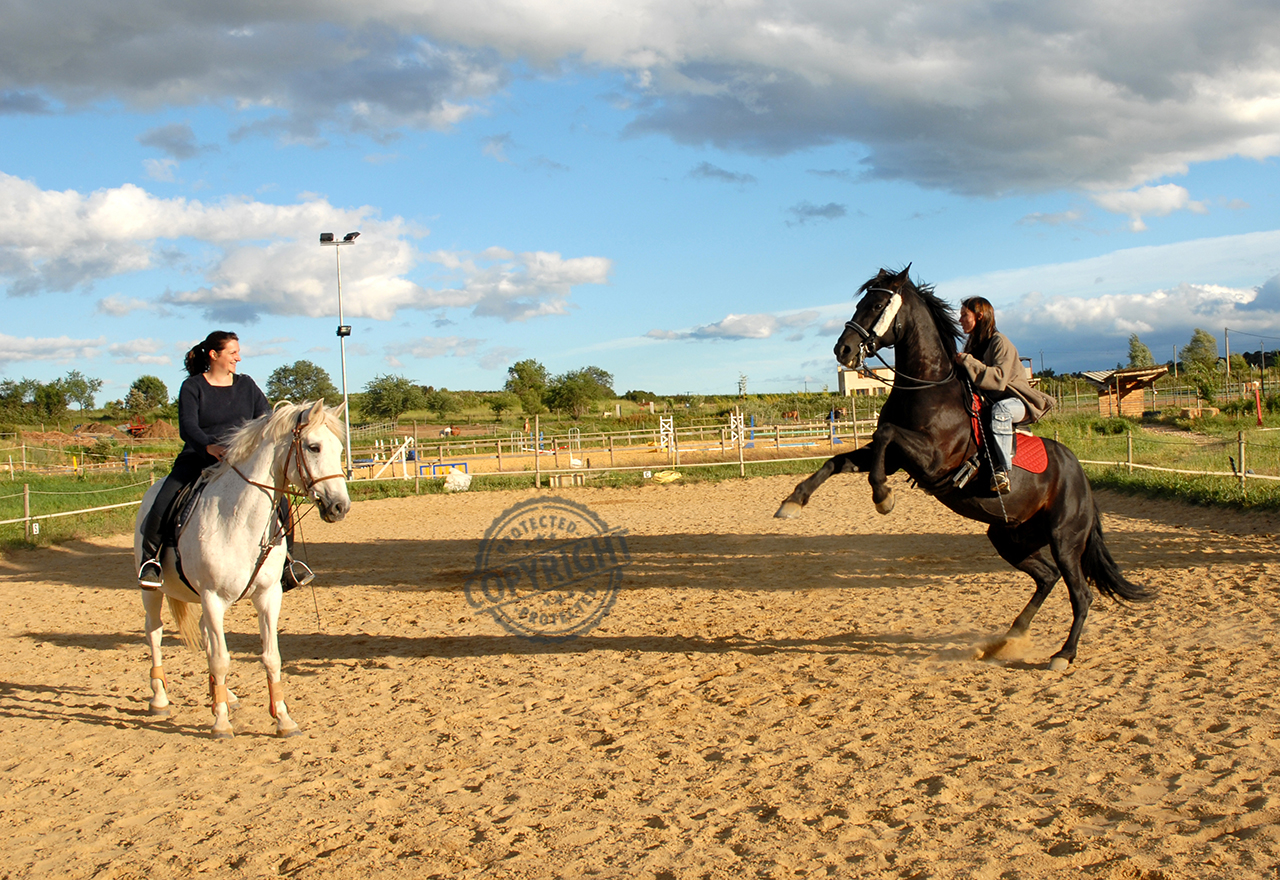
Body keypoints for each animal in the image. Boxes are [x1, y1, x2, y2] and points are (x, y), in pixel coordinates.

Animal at [133, 399, 350, 736]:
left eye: (340, 448)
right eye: (313, 447)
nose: (340, 507)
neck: (238, 519)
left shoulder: (268, 596)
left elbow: (271, 657)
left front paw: (283, 719)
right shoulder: (212, 597)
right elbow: (221, 659)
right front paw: (222, 724)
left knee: (206, 638)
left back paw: (223, 697)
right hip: (153, 592)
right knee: (154, 632)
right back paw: (160, 699)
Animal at [773, 264, 1157, 670]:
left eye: (876, 305)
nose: (842, 349)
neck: (926, 389)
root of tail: (1080, 476)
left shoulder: (932, 460)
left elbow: (886, 435)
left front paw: (883, 497)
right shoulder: (895, 458)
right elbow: (840, 460)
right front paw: (792, 502)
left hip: (1065, 540)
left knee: (1080, 593)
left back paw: (1062, 655)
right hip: (1009, 537)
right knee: (1047, 578)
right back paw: (1007, 639)